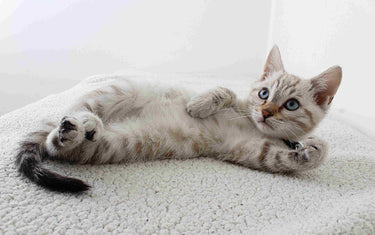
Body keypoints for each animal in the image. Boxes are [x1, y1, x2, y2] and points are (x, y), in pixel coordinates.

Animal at [15, 46, 344, 193]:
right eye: (263, 94)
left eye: (291, 105)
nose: (264, 113)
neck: (251, 125)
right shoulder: (239, 103)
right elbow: (225, 92)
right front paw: (198, 106)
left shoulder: (248, 151)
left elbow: (280, 157)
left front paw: (311, 150)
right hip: (115, 91)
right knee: (75, 110)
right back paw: (84, 121)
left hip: (108, 145)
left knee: (57, 144)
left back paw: (77, 131)